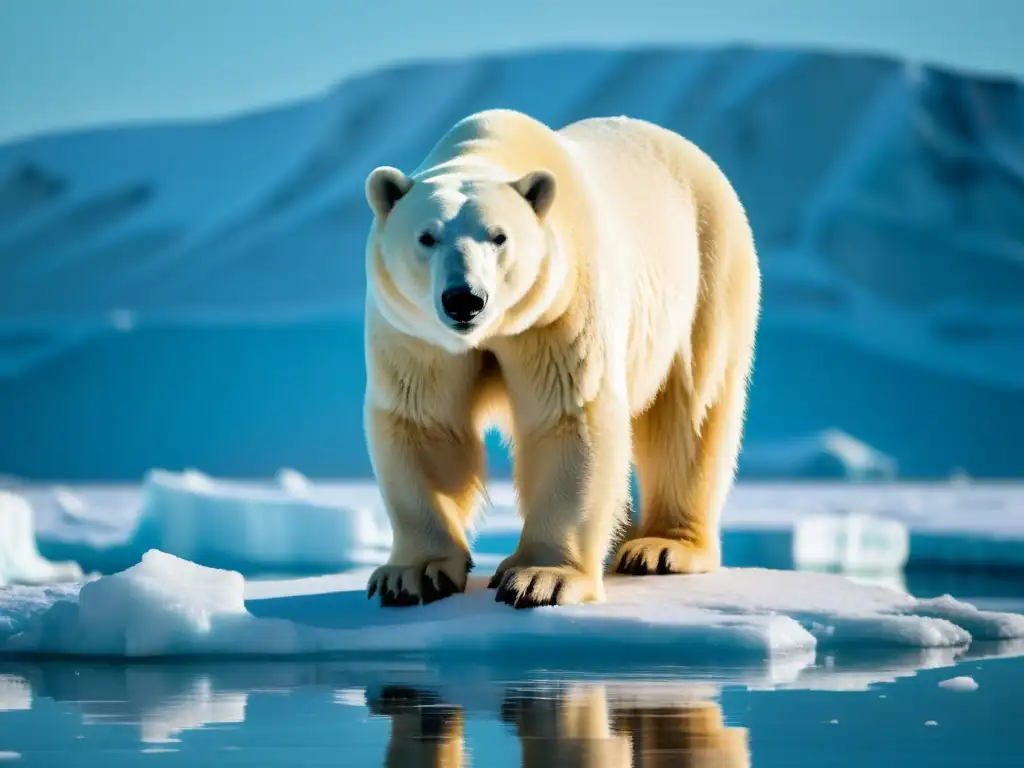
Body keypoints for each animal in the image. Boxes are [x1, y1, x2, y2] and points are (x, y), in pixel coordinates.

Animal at [362, 109, 761, 614]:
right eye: (426, 237)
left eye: (499, 237)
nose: (464, 299)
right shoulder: (416, 333)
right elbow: (425, 422)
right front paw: (412, 574)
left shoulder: (559, 307)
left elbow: (568, 415)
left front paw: (539, 578)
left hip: (708, 270)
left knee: (691, 410)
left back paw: (660, 547)